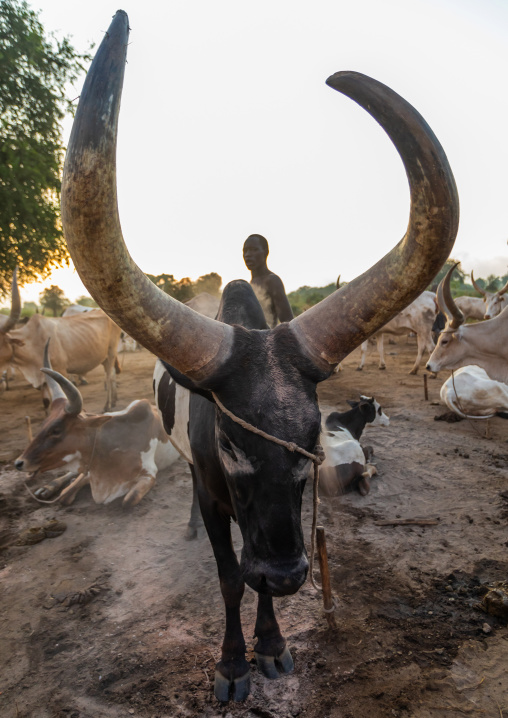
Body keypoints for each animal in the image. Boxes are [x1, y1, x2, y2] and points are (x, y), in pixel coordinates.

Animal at [14, 350, 180, 507]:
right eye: (44, 424)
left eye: (56, 430)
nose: (19, 463)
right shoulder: (90, 472)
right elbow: (66, 495)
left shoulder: (148, 474)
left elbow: (128, 500)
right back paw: (47, 488)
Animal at [60, 11, 458, 701]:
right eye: (230, 440)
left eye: (313, 436)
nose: (291, 572)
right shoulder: (219, 495)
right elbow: (228, 576)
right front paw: (231, 664)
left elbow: (256, 588)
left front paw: (270, 647)